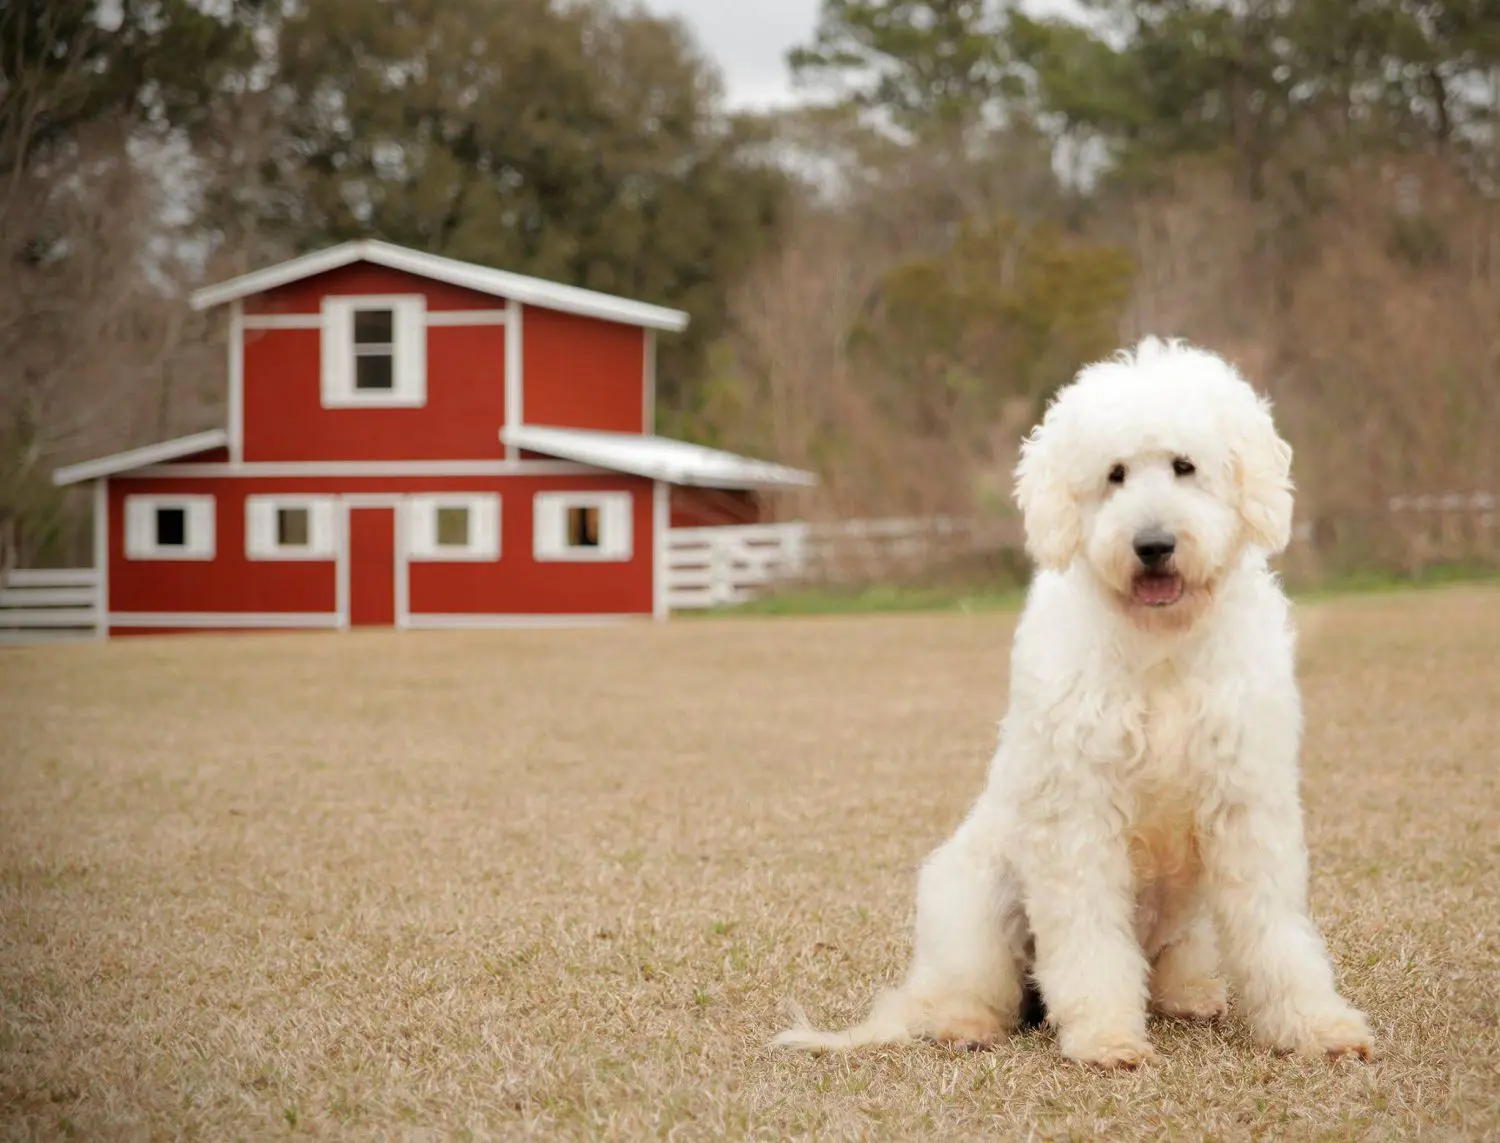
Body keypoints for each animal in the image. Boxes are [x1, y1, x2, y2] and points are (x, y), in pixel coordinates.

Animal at [780, 334, 1374, 1062]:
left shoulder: (1245, 802)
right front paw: (1106, 1036)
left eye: (1185, 466)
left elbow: (1275, 931)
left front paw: (1316, 1024)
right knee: (964, 989)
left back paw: (1190, 994)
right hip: (975, 902)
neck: (1160, 647)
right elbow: (1090, 939)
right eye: (1115, 474)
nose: (1153, 544)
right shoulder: (1079, 813)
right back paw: (965, 1024)